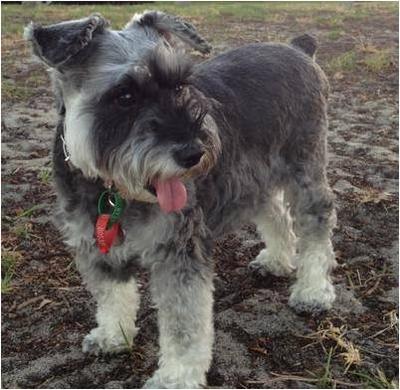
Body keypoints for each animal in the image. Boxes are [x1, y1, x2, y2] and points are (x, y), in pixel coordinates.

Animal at [25, 10, 336, 388]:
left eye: (179, 85)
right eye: (124, 96)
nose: (192, 153)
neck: (113, 191)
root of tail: (298, 48)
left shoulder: (178, 252)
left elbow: (184, 324)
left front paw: (176, 376)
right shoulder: (98, 248)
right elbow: (113, 296)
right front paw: (112, 335)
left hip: (306, 169)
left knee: (316, 225)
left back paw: (313, 291)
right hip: (253, 177)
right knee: (275, 212)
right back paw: (276, 260)